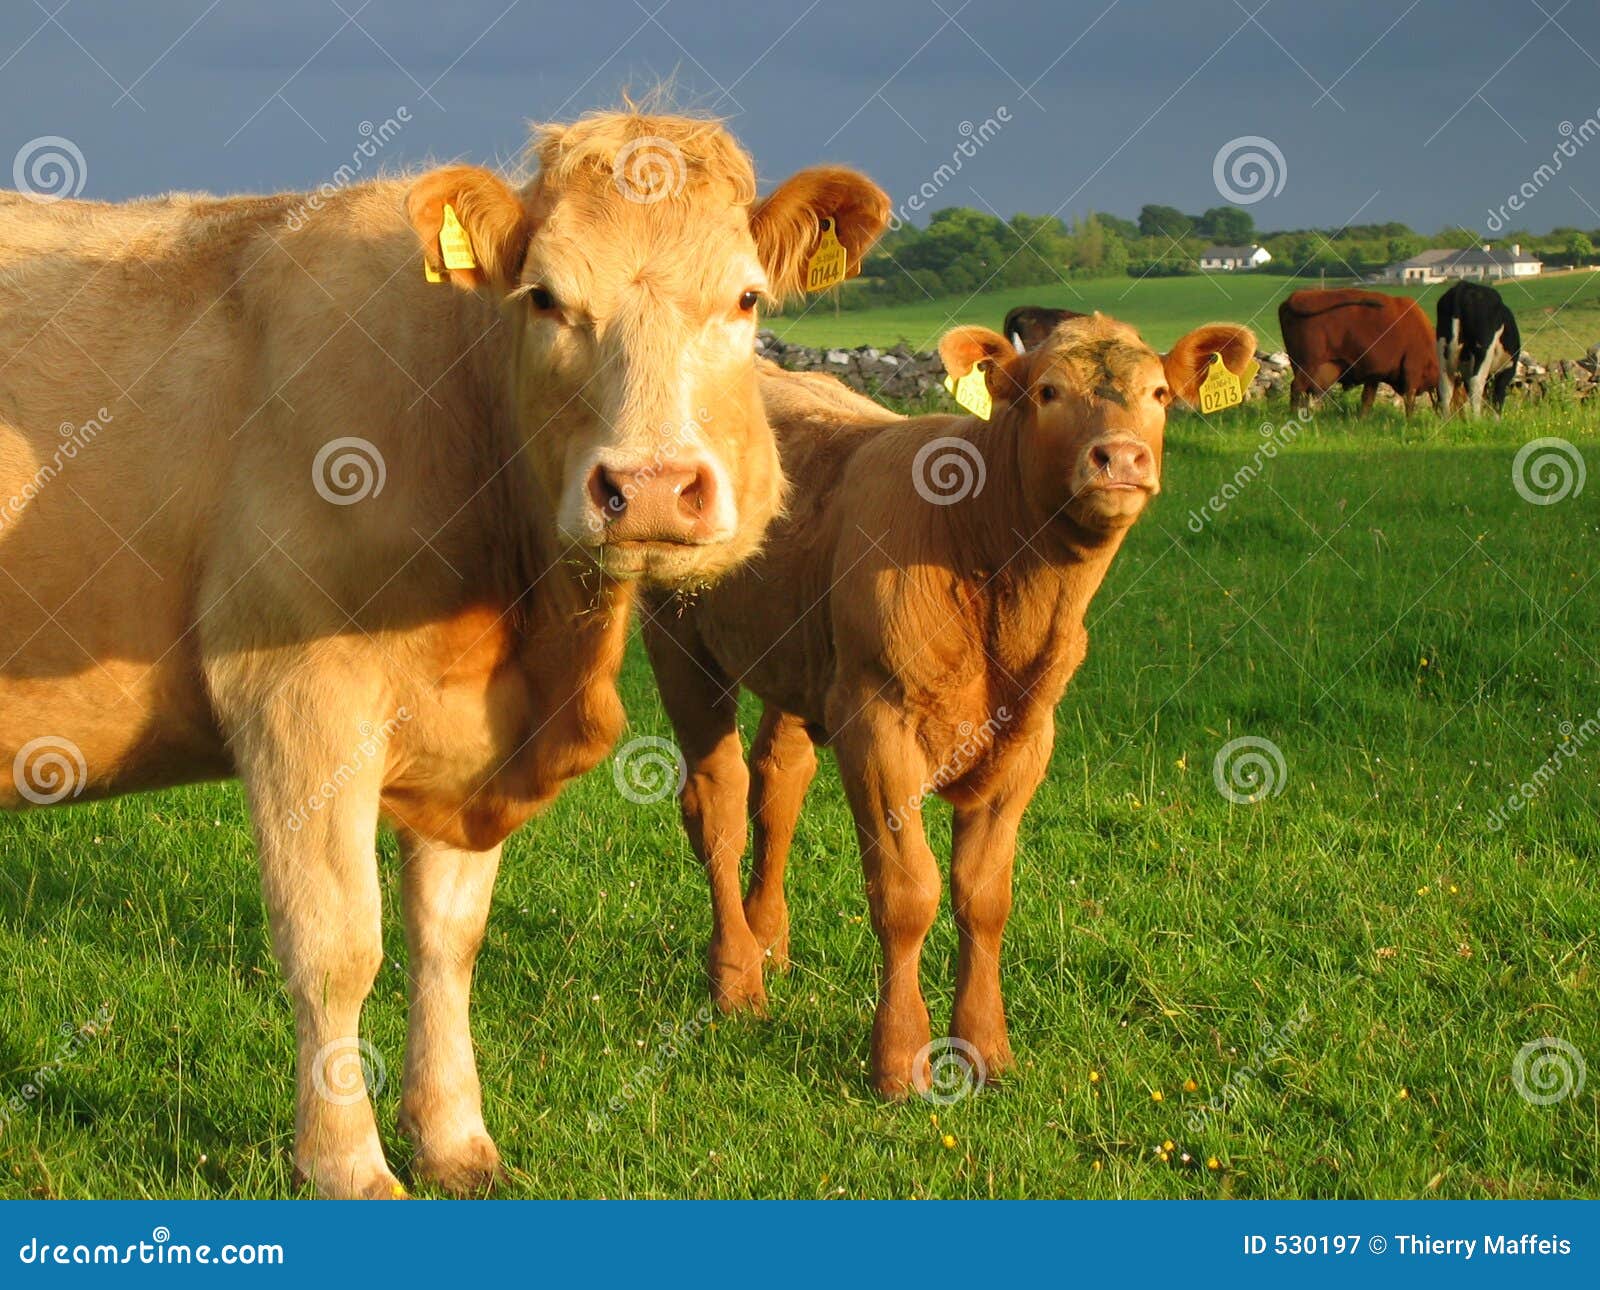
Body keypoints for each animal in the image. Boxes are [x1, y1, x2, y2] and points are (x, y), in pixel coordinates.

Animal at [0, 109, 890, 1197]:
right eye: (544, 297)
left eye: (747, 296)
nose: (646, 487)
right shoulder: (297, 702)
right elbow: (338, 947)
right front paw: (349, 1163)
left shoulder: (473, 741)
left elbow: (448, 940)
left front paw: (456, 1139)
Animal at [643, 313, 1255, 1097]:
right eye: (1047, 391)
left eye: (1158, 394)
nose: (1120, 456)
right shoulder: (877, 724)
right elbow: (908, 893)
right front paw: (900, 1058)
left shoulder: (1027, 740)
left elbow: (983, 897)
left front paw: (988, 1048)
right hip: (678, 633)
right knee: (716, 804)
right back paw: (736, 980)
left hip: (799, 658)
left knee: (777, 784)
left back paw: (768, 941)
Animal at [1278, 288, 1439, 416]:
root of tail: (1297, 296)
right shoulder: (1412, 372)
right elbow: (1410, 401)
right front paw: (1409, 422)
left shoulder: (1374, 376)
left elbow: (1367, 400)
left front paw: (1362, 421)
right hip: (1308, 365)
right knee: (1296, 388)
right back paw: (1292, 416)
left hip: (1300, 367)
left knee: (1303, 392)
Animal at [1437, 281, 1521, 416]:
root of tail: (1463, 287)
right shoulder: (1506, 369)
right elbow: (1497, 399)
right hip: (1484, 350)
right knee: (1476, 383)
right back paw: (1477, 419)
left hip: (1442, 349)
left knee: (1445, 387)